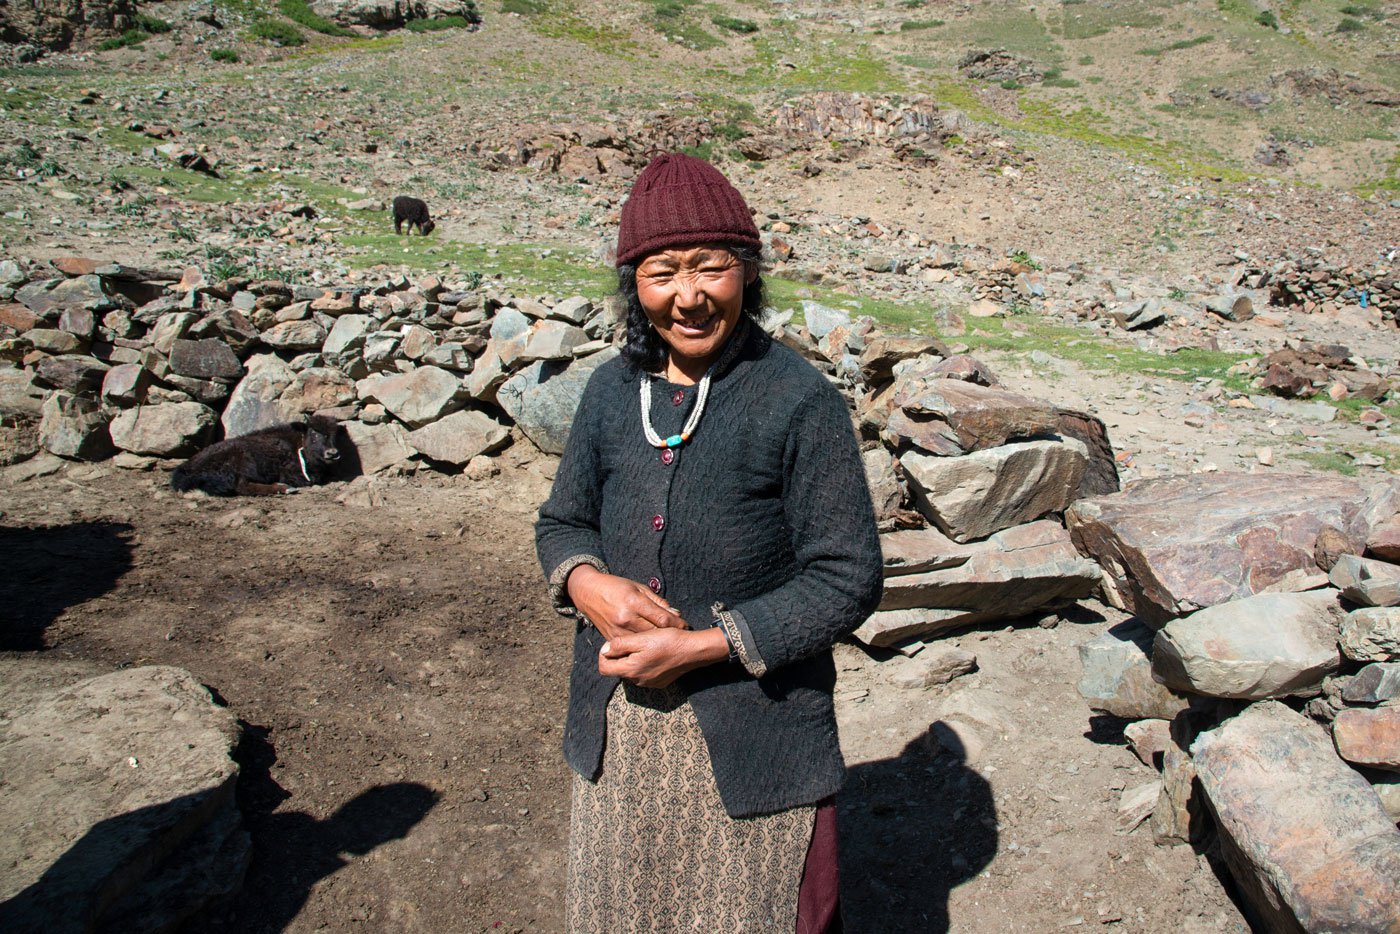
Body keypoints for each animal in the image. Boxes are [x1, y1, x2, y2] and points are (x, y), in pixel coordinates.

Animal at [170, 417, 344, 495]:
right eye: (314, 433)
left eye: (334, 434)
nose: (332, 453)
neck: (297, 443)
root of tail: (185, 469)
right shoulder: (292, 472)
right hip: (244, 462)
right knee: (242, 486)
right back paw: (285, 488)